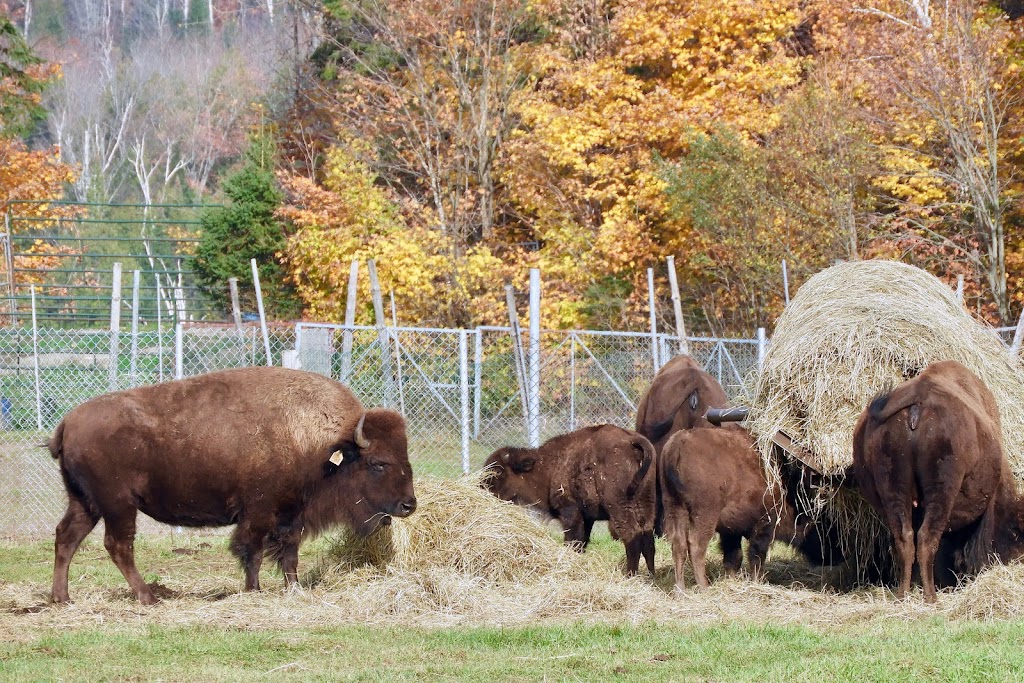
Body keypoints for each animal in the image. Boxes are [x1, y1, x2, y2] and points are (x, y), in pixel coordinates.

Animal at [49, 368, 417, 602]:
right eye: (378, 463)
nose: (408, 505)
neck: (318, 442)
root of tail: (67, 422)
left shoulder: (291, 514)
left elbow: (289, 554)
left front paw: (292, 588)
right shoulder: (258, 512)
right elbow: (251, 551)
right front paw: (254, 590)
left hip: (85, 503)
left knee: (66, 537)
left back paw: (61, 598)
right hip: (119, 505)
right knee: (118, 545)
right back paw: (148, 597)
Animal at [479, 423, 655, 573]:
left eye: (498, 471)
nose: (480, 487)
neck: (548, 467)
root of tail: (632, 440)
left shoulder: (570, 512)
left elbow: (573, 541)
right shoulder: (587, 517)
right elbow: (582, 541)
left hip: (619, 507)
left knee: (631, 535)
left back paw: (630, 575)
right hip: (646, 505)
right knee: (648, 540)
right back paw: (651, 577)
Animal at [659, 430, 819, 589]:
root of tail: (678, 443)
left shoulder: (730, 531)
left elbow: (734, 557)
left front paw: (732, 580)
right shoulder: (763, 525)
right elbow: (756, 556)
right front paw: (756, 581)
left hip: (675, 506)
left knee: (678, 545)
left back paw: (680, 589)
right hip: (704, 514)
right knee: (696, 546)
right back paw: (704, 587)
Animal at [847, 360, 1024, 602]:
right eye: (1016, 533)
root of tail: (917, 401)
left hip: (893, 487)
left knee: (905, 538)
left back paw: (904, 594)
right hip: (941, 490)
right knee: (927, 538)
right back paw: (931, 597)